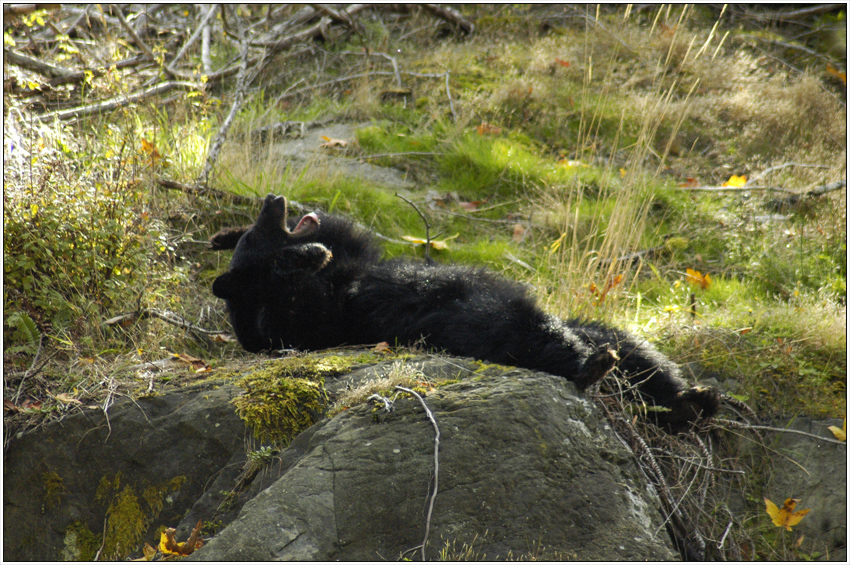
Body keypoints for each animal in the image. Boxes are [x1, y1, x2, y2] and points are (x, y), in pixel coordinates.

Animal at [212, 195, 716, 432]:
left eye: (264, 218)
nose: (273, 198)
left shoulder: (353, 261)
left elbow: (342, 238)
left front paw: (228, 234)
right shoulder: (328, 315)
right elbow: (290, 318)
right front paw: (298, 257)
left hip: (594, 331)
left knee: (638, 353)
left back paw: (691, 399)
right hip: (468, 323)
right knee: (512, 327)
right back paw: (591, 367)